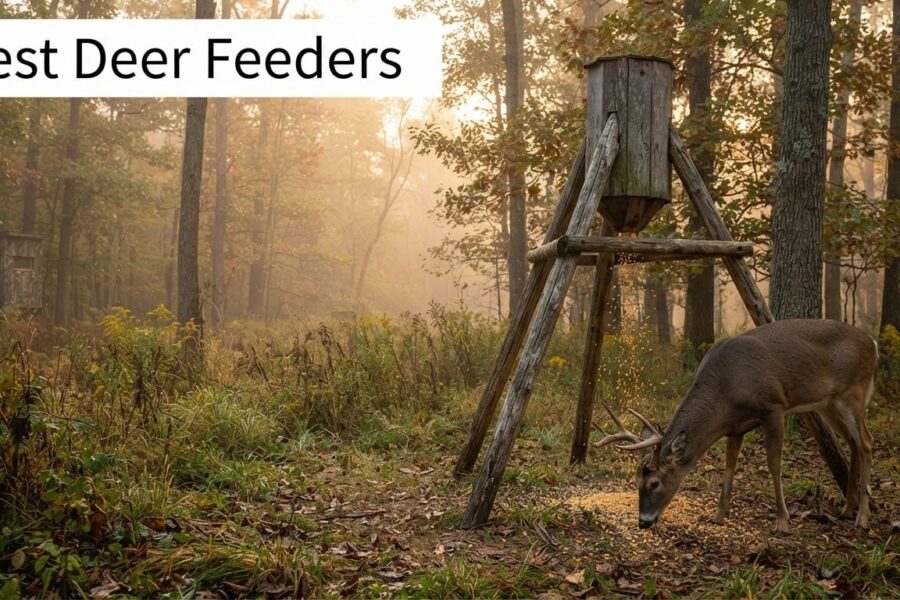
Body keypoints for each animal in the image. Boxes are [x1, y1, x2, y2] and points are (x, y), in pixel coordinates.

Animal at [597, 319, 878, 533]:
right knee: (853, 442)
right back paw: (847, 508)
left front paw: (783, 521)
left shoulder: (773, 408)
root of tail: (872, 343)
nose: (643, 522)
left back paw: (863, 518)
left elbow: (774, 464)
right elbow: (729, 465)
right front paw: (718, 515)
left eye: (654, 483)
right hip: (827, 404)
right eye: (636, 481)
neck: (726, 389)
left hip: (853, 392)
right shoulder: (735, 426)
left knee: (866, 442)